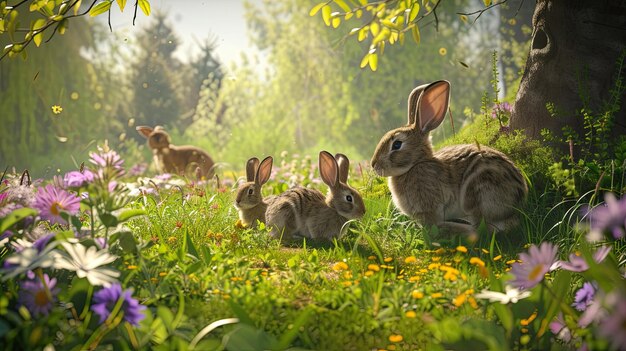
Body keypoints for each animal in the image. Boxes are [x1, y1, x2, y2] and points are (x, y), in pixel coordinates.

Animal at [370, 80, 528, 236]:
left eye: (397, 144)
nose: (374, 165)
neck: (416, 164)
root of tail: (520, 195)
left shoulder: (430, 208)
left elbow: (432, 223)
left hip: (477, 191)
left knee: (480, 226)